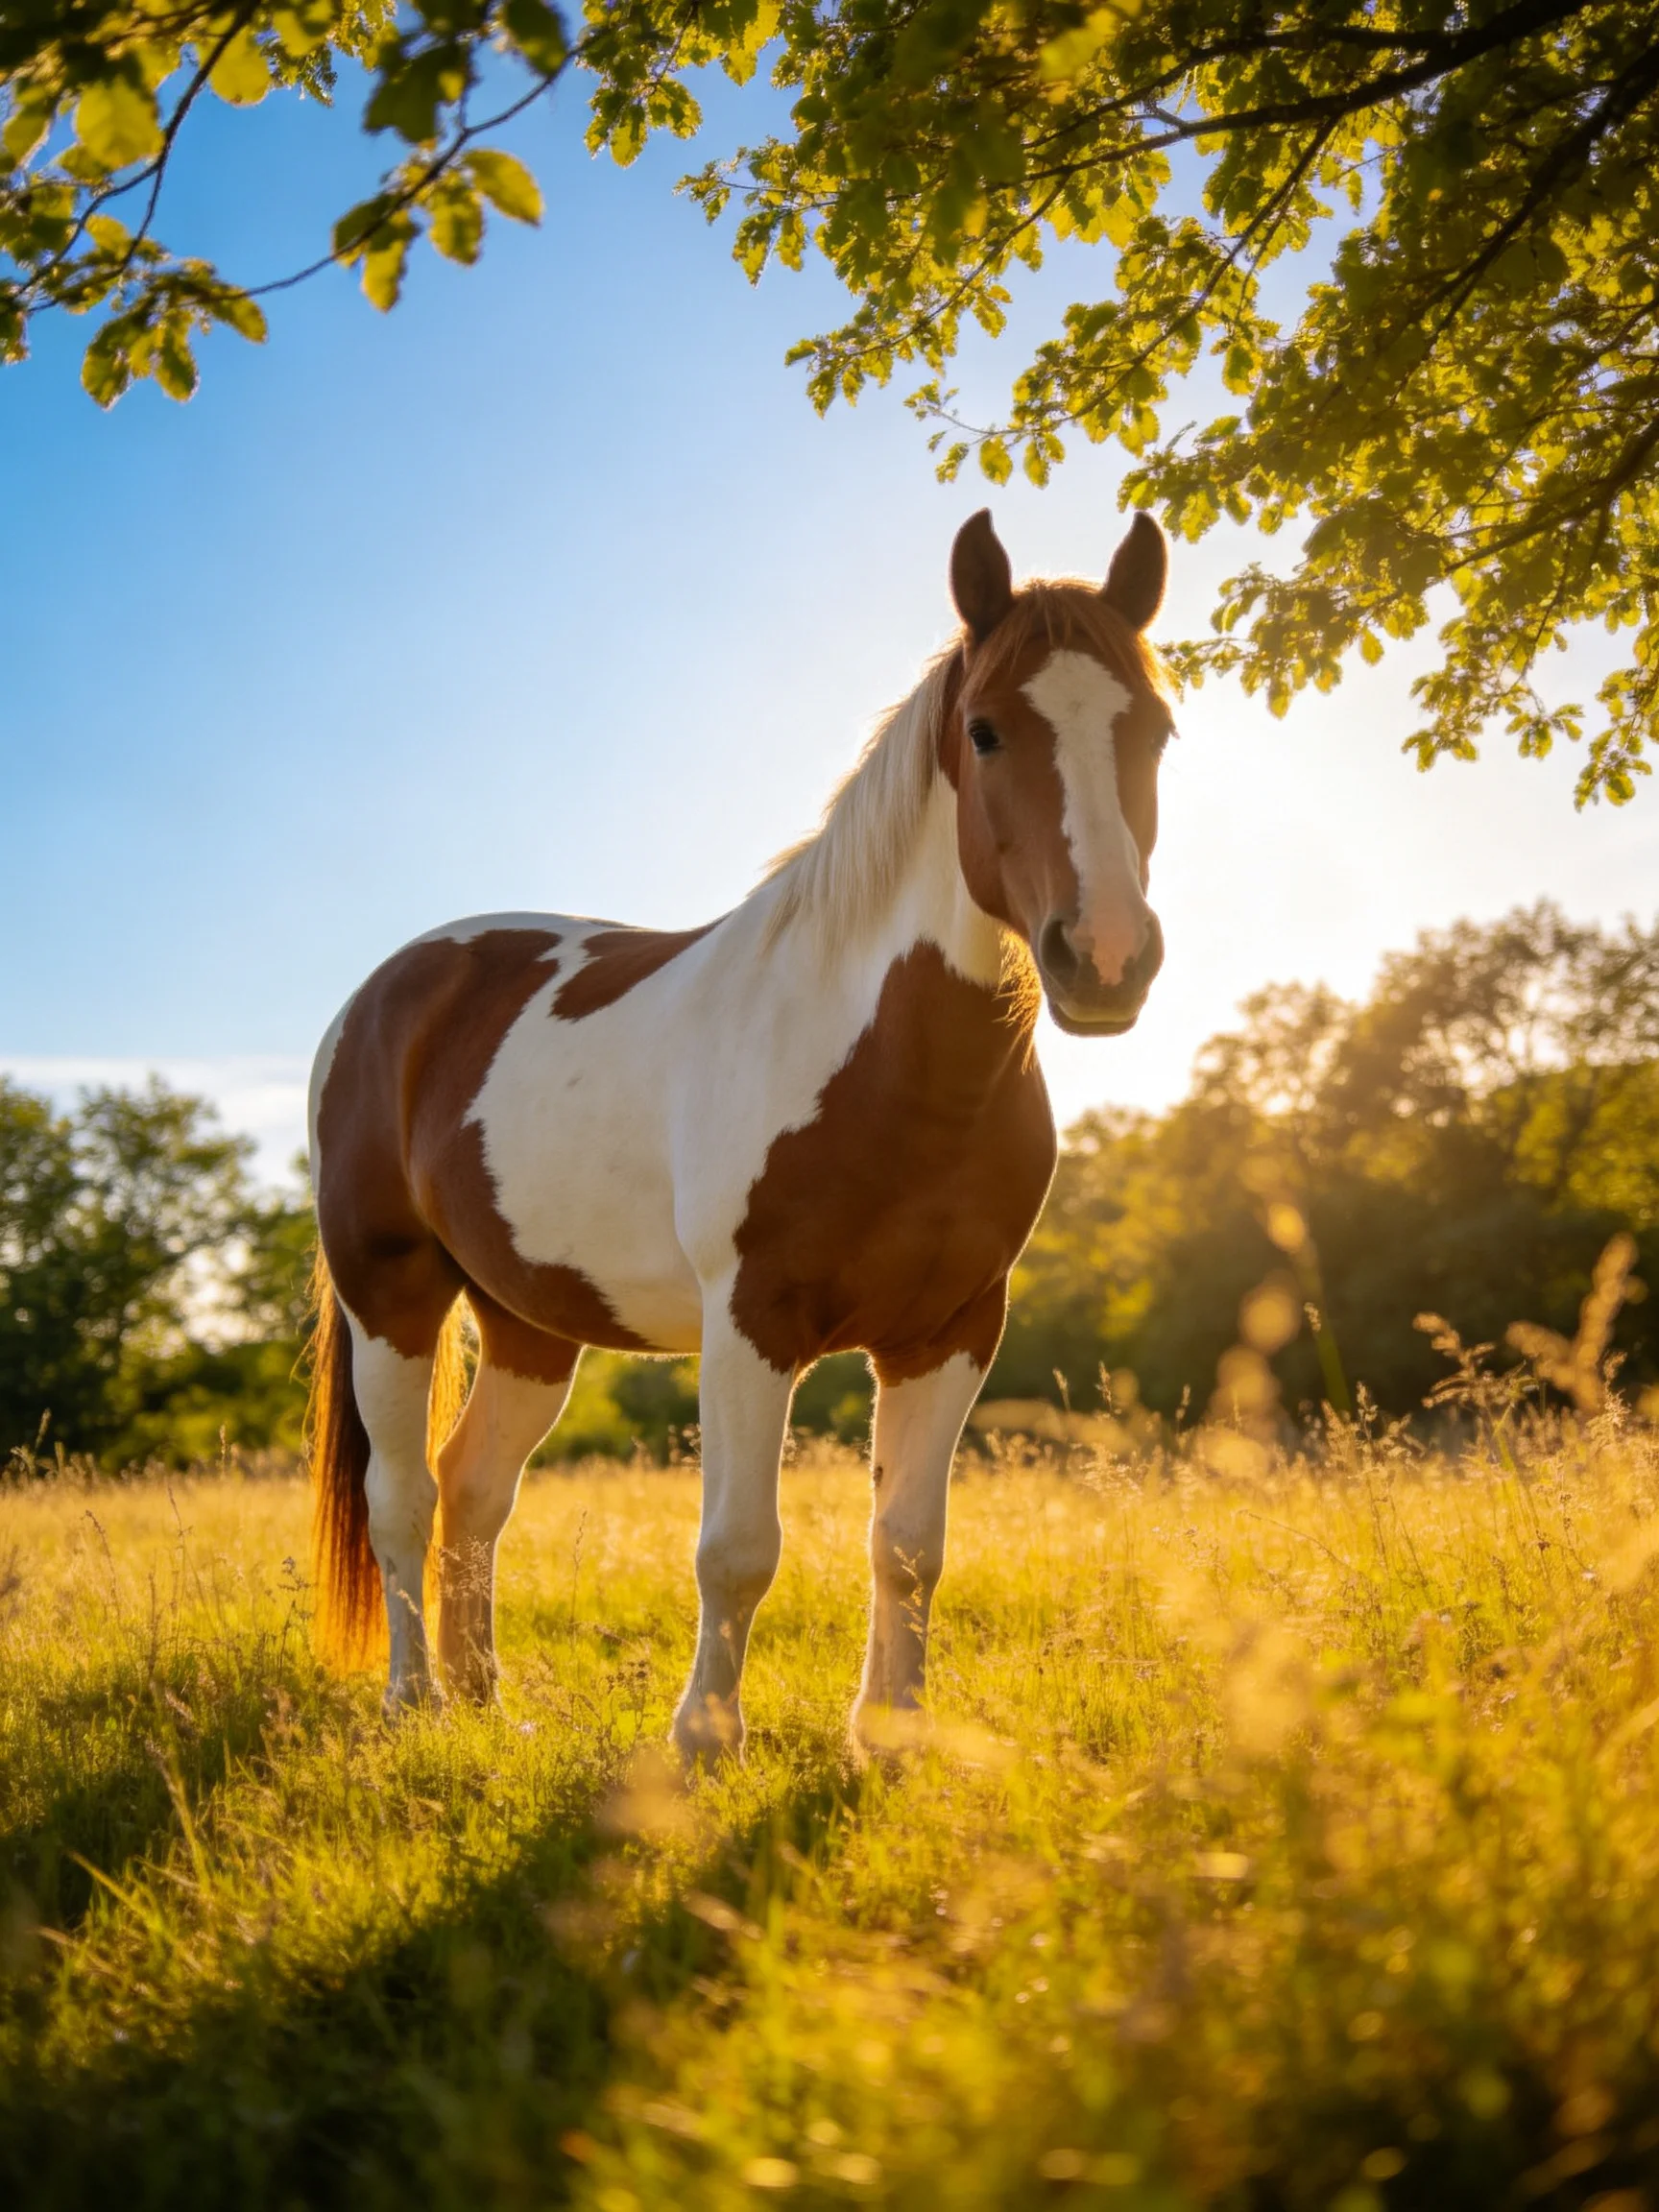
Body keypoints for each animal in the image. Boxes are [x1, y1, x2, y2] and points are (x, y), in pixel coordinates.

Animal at [306, 507, 1177, 1759]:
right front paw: (707, 1739)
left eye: (1154, 729)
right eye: (987, 731)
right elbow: (737, 1551)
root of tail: (388, 989)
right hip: (395, 1295)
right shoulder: (751, 1324)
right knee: (402, 1500)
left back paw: (487, 1708)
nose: (1103, 960)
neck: (889, 1066)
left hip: (529, 1323)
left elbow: (909, 1547)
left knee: (473, 1488)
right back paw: (413, 1703)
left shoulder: (953, 1331)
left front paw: (891, 1734)